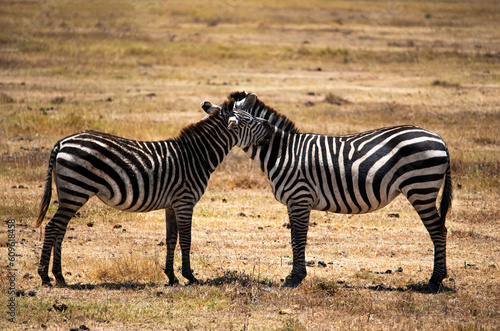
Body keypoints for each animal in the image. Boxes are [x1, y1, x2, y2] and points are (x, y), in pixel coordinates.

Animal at [35, 99, 272, 288]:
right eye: (249, 120)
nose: (271, 126)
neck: (196, 156)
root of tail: (62, 142)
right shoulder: (185, 201)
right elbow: (186, 239)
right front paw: (190, 277)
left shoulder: (172, 204)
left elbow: (171, 239)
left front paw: (171, 277)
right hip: (76, 189)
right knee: (53, 227)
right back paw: (45, 277)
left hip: (69, 193)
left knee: (60, 229)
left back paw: (59, 276)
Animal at [201, 91, 452, 294]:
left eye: (248, 120)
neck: (282, 151)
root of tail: (440, 139)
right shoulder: (294, 202)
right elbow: (295, 238)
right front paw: (296, 275)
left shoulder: (299, 197)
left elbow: (298, 238)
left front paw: (295, 278)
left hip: (420, 188)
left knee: (439, 231)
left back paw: (434, 281)